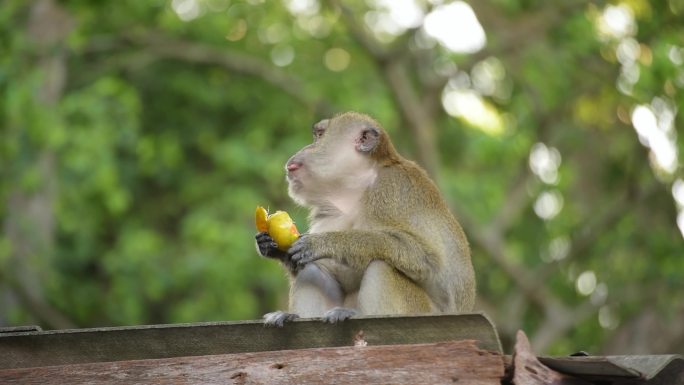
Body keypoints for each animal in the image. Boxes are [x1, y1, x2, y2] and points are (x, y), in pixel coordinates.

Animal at [256, 111, 476, 328]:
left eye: (319, 135)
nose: (303, 150)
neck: (357, 187)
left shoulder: (390, 189)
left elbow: (427, 259)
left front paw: (326, 243)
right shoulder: (327, 211)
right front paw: (272, 247)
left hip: (420, 310)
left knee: (382, 266)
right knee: (312, 273)